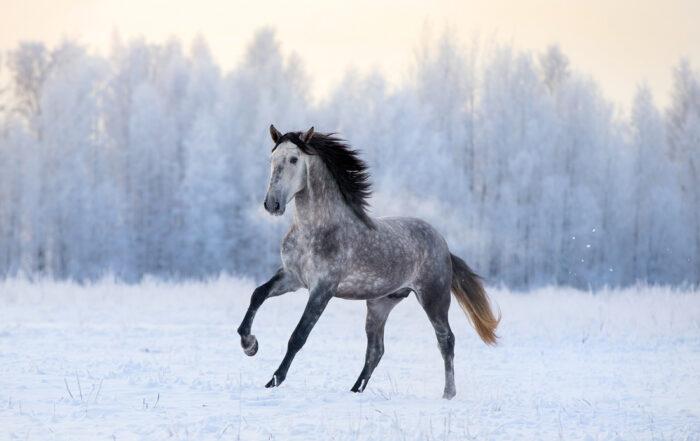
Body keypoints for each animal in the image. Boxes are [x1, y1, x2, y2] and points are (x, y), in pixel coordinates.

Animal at [237, 125, 500, 399]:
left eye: (293, 159)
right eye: (272, 159)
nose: (272, 204)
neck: (316, 229)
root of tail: (444, 245)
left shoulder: (323, 289)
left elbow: (298, 335)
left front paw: (273, 381)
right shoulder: (292, 277)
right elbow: (257, 294)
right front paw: (250, 345)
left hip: (433, 298)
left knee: (445, 340)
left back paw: (448, 394)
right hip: (379, 304)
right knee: (376, 350)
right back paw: (355, 390)